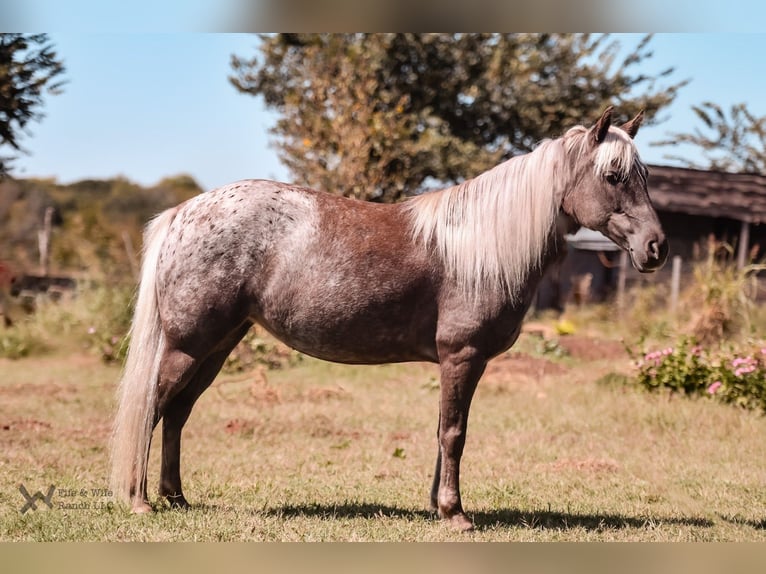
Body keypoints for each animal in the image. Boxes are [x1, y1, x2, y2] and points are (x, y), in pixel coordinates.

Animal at [111, 107, 668, 532]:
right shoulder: (462, 357)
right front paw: (455, 514)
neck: (479, 246)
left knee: (178, 412)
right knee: (154, 407)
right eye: (613, 176)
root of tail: (182, 214)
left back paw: (176, 497)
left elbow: (442, 430)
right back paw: (140, 500)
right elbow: (454, 433)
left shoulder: (456, 364)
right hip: (188, 346)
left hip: (218, 346)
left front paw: (437, 506)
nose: (655, 248)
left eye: (643, 178)